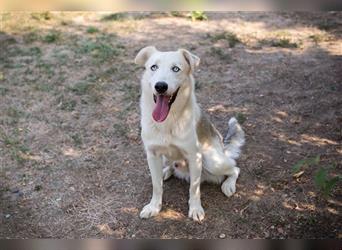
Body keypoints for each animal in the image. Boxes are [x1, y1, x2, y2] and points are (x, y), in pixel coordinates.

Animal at [135, 46, 244, 222]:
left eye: (176, 69)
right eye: (153, 67)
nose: (160, 86)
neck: (168, 121)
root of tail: (223, 149)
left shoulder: (195, 156)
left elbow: (194, 188)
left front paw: (195, 209)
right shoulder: (152, 154)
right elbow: (156, 186)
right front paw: (154, 207)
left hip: (212, 161)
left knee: (235, 168)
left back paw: (228, 185)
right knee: (169, 167)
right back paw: (166, 171)